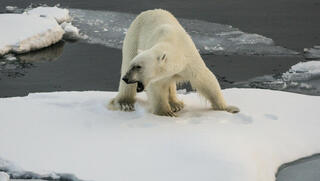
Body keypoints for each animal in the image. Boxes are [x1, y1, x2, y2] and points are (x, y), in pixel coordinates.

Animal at [108, 9, 240, 116]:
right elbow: (157, 88)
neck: (173, 42)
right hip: (133, 37)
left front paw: (229, 108)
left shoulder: (189, 59)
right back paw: (125, 103)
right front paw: (166, 112)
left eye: (138, 66)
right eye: (133, 65)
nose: (126, 77)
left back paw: (176, 104)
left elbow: (205, 80)